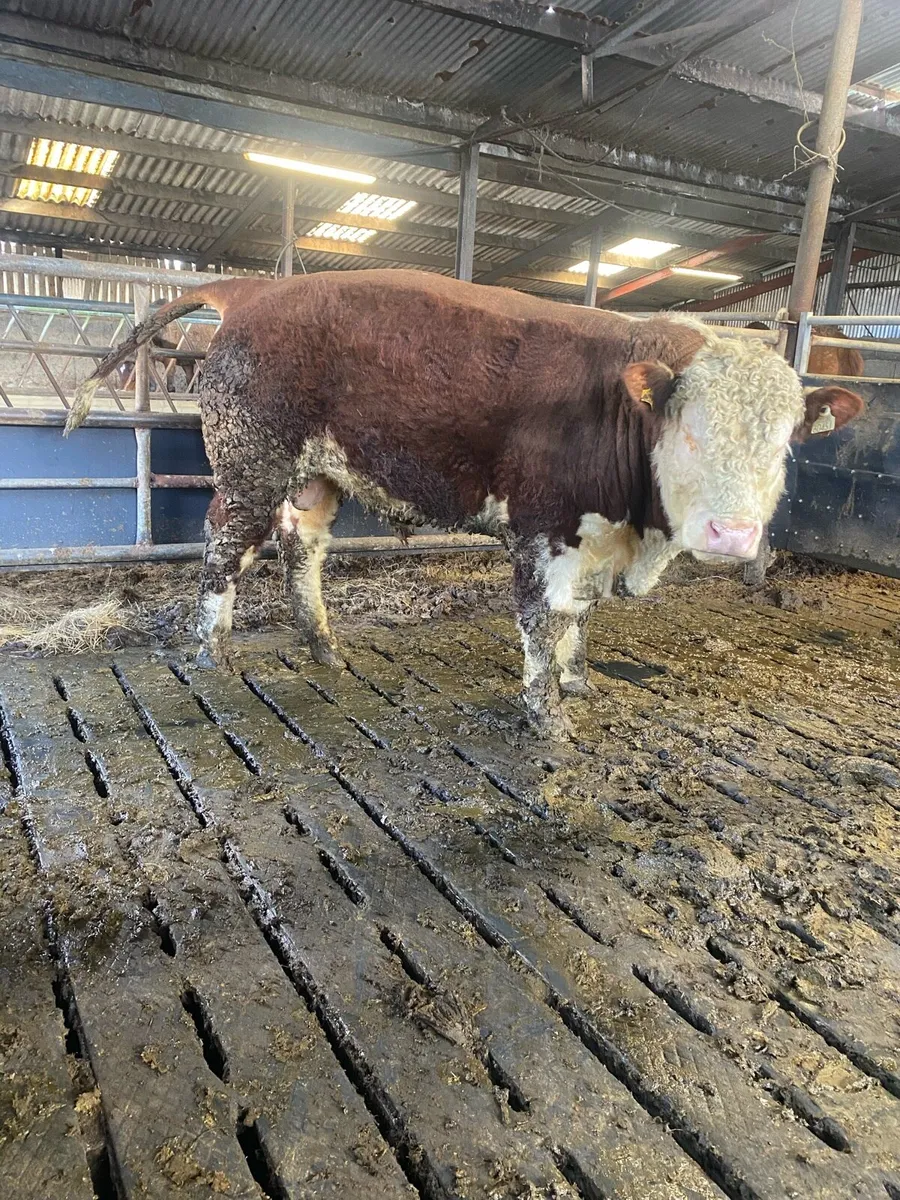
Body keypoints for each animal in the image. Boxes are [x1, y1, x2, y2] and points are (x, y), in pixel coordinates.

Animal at [66, 271, 864, 737]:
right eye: (690, 431)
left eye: (786, 441)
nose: (733, 534)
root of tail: (260, 288)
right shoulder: (544, 529)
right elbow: (545, 620)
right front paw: (546, 714)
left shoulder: (592, 535)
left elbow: (581, 616)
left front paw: (578, 682)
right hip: (250, 464)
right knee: (225, 550)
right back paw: (213, 652)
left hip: (315, 472)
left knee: (302, 545)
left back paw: (323, 645)